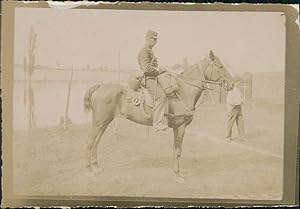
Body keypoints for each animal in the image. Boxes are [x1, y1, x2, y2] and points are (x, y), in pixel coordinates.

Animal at [83, 50, 233, 180]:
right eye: (220, 66)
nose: (232, 83)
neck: (183, 91)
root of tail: (99, 86)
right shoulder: (181, 127)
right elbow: (178, 150)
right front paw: (178, 175)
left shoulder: (177, 128)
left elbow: (175, 149)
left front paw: (175, 172)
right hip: (99, 121)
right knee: (90, 141)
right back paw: (89, 170)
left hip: (106, 121)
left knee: (96, 142)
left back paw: (96, 167)